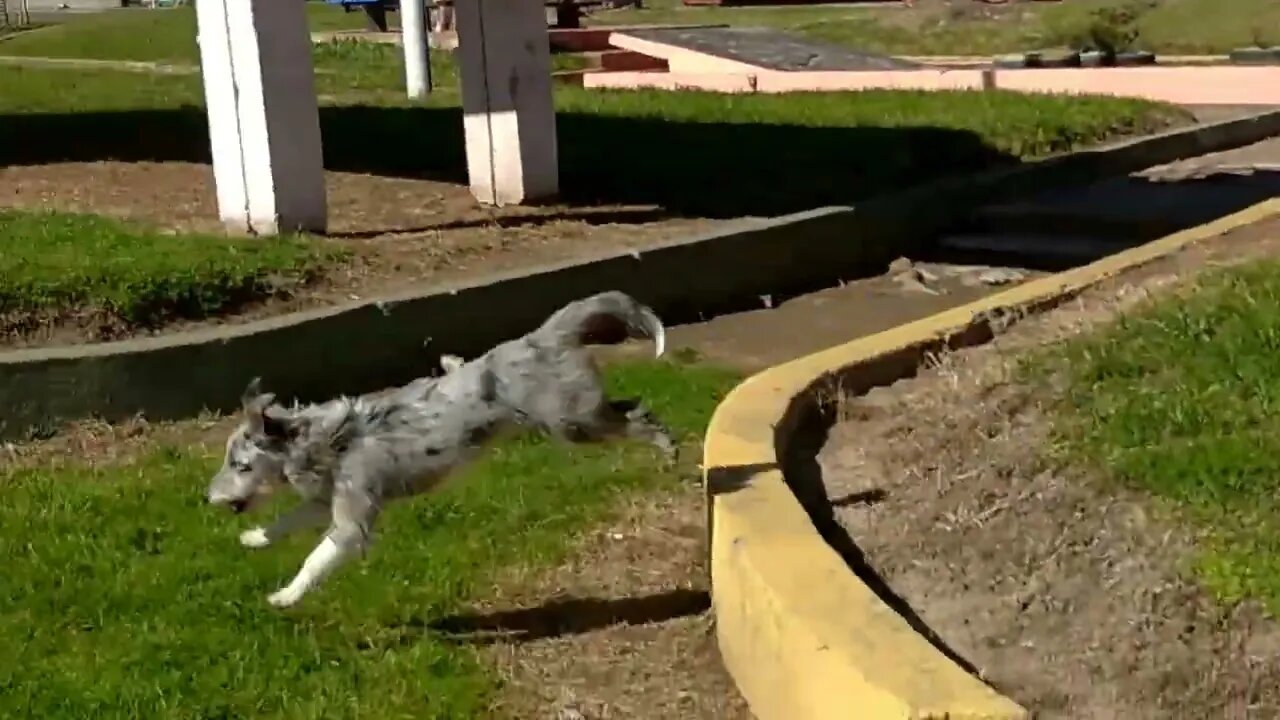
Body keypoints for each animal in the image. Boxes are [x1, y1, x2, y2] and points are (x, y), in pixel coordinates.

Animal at [204, 288, 675, 602]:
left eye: (241, 465)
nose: (208, 498)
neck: (328, 439)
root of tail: (541, 337)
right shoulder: (327, 501)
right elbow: (286, 521)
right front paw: (255, 538)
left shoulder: (352, 521)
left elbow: (315, 560)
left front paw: (285, 596)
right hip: (578, 417)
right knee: (634, 406)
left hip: (572, 422)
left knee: (637, 417)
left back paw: (666, 445)